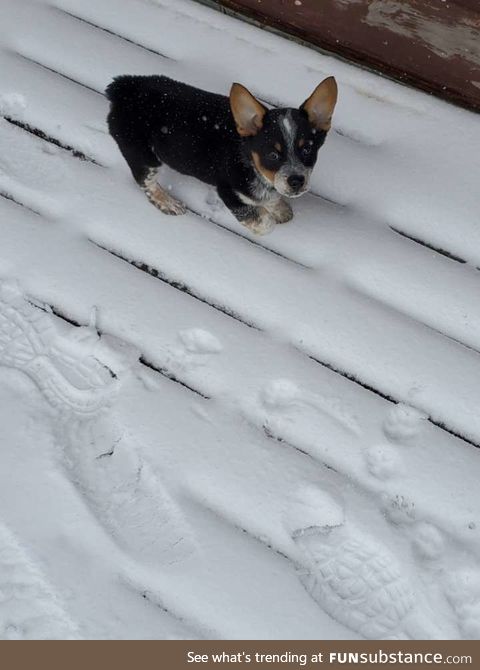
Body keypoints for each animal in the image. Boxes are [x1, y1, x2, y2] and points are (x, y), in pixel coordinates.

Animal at [106, 74, 338, 235]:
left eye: (307, 150)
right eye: (272, 155)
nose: (296, 181)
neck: (249, 160)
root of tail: (123, 88)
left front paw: (279, 208)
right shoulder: (229, 192)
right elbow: (263, 221)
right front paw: (267, 215)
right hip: (143, 155)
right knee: (146, 181)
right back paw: (167, 202)